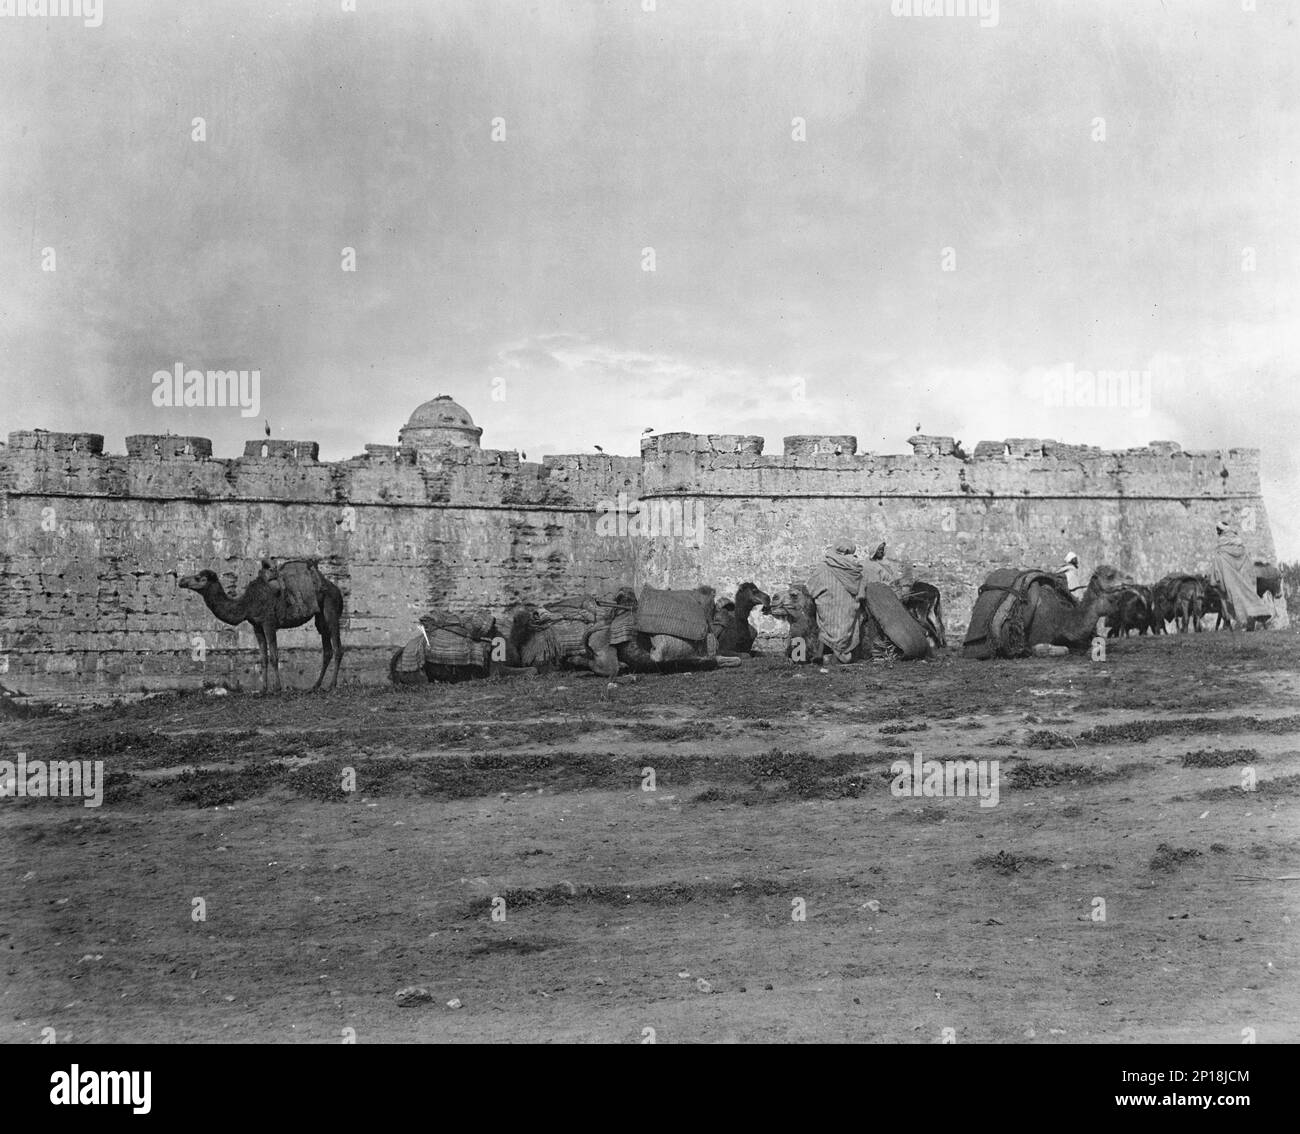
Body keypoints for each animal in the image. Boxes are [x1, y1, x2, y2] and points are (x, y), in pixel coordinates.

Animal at [183, 559, 348, 691]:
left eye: (199, 577)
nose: (181, 581)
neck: (247, 603)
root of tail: (336, 588)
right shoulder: (256, 625)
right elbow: (263, 658)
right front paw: (263, 689)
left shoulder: (269, 622)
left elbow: (274, 656)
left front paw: (277, 688)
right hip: (320, 617)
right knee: (327, 649)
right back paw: (315, 686)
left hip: (331, 607)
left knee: (337, 647)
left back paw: (331, 685)